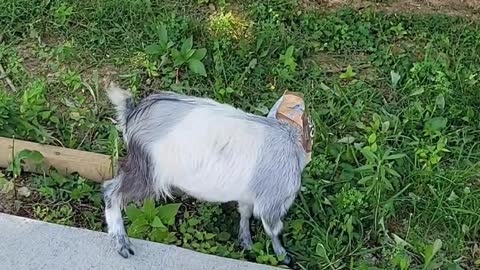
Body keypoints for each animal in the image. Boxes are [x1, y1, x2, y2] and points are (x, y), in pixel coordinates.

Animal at [102, 81, 316, 264]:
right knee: (110, 190)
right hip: (149, 172)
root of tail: (131, 114)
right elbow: (273, 229)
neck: (288, 136)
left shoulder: (248, 194)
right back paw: (122, 243)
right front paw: (283, 256)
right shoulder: (272, 202)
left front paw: (246, 241)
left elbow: (245, 213)